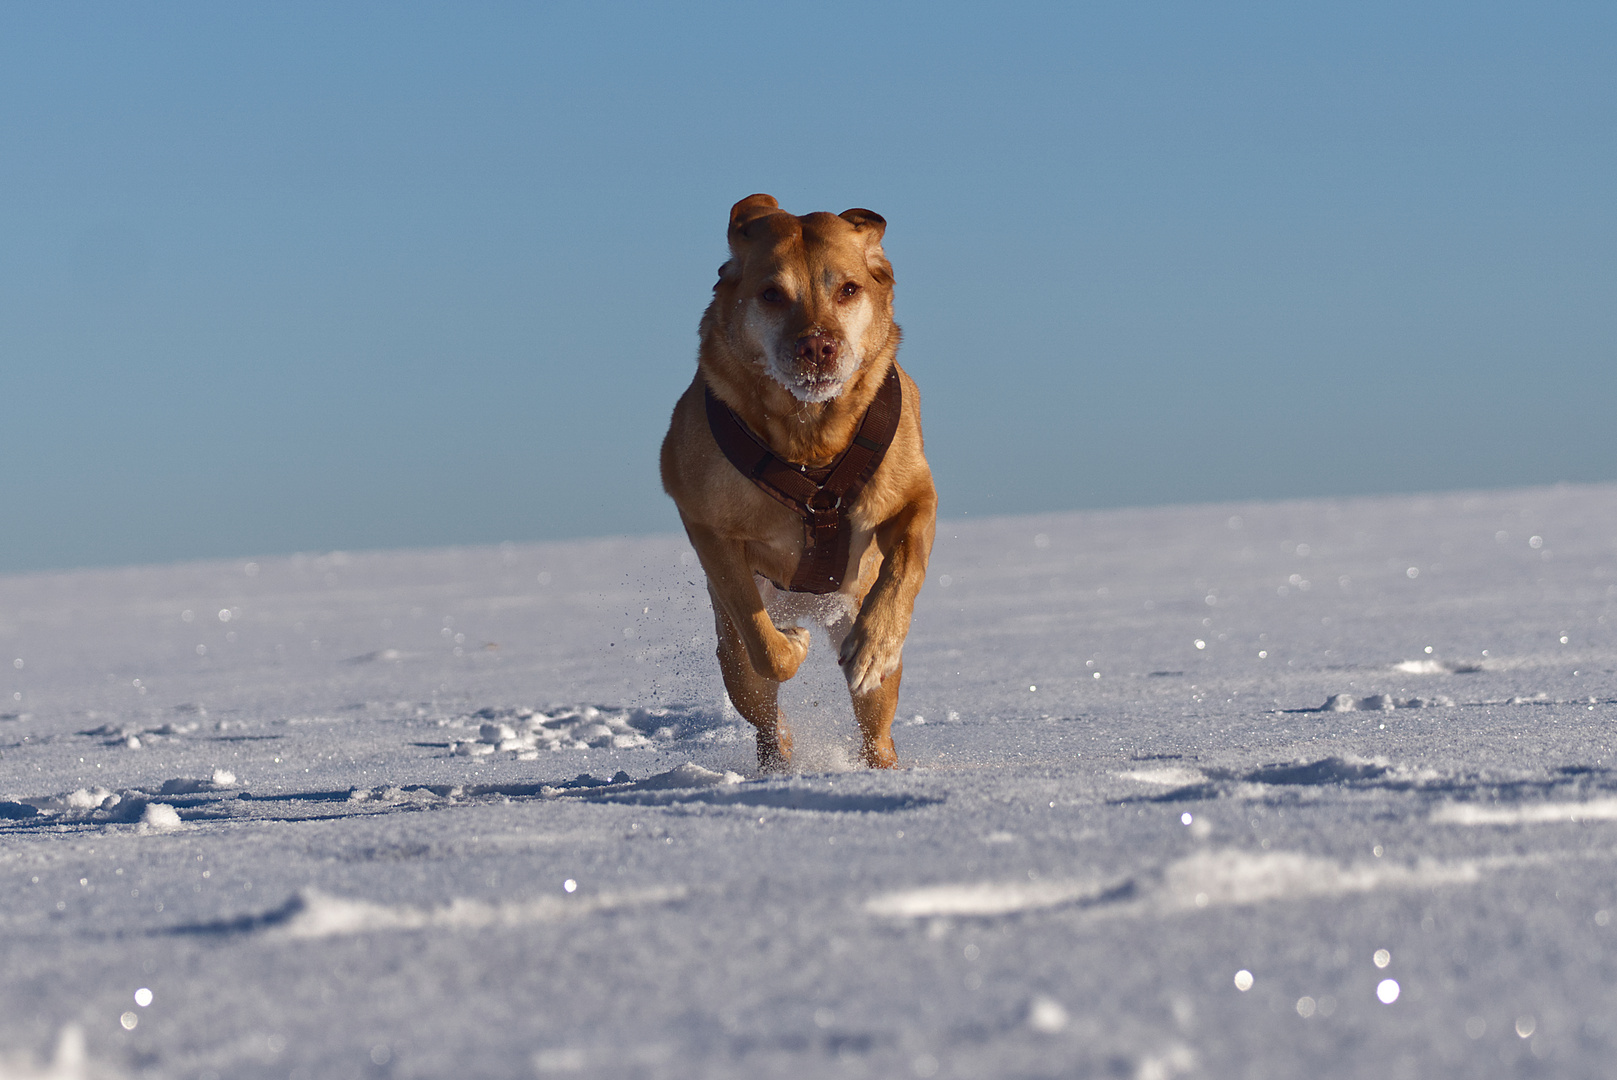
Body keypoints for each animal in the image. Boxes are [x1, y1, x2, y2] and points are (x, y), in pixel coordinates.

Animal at [656, 191, 937, 766]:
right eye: (771, 294)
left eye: (848, 289)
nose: (817, 347)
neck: (811, 438)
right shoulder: (706, 525)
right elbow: (763, 643)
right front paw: (791, 646)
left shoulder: (914, 493)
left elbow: (905, 564)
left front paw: (873, 646)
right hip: (732, 657)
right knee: (759, 701)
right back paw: (779, 758)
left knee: (876, 728)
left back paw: (884, 766)